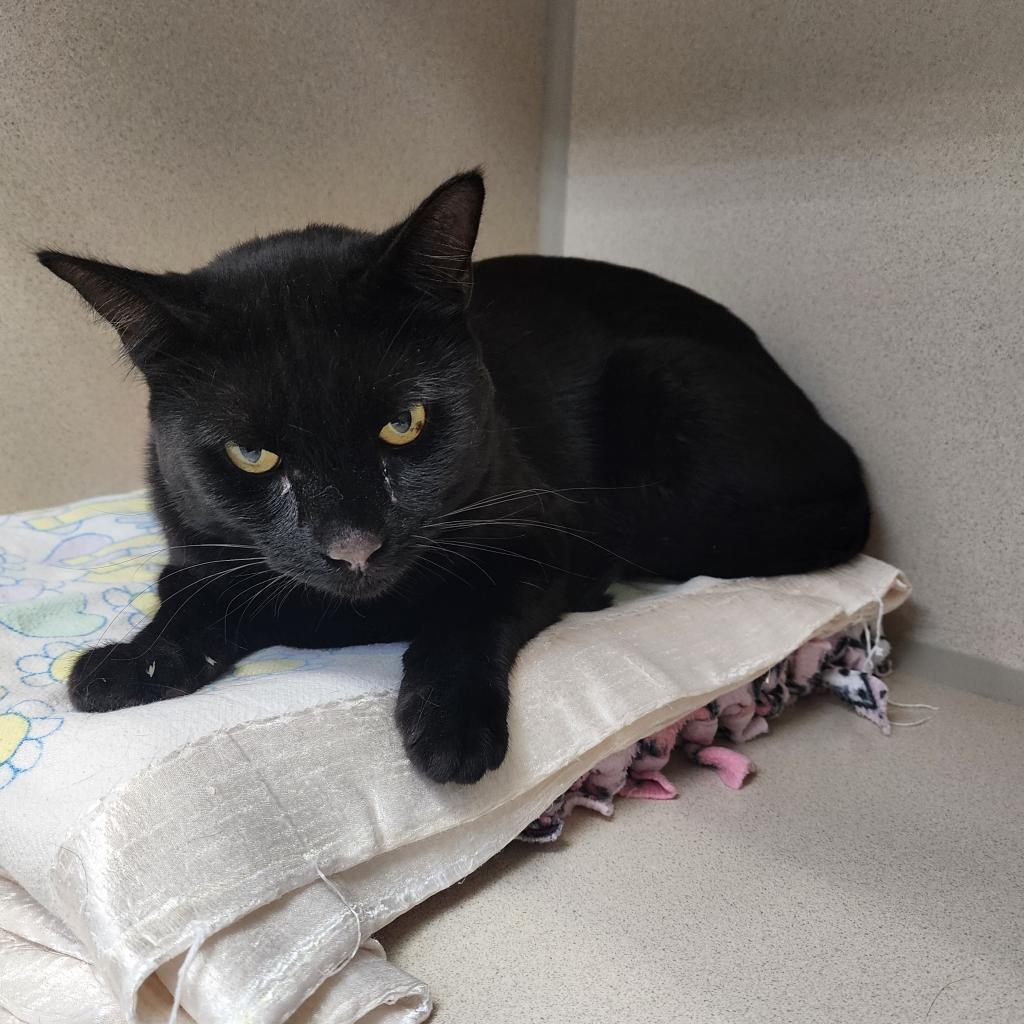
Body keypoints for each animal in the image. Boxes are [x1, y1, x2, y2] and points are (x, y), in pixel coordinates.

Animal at [41, 172, 872, 782]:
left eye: (403, 423)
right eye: (253, 456)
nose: (353, 547)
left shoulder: (544, 531)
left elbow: (472, 606)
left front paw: (449, 726)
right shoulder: (195, 548)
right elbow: (188, 594)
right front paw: (135, 661)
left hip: (659, 373)